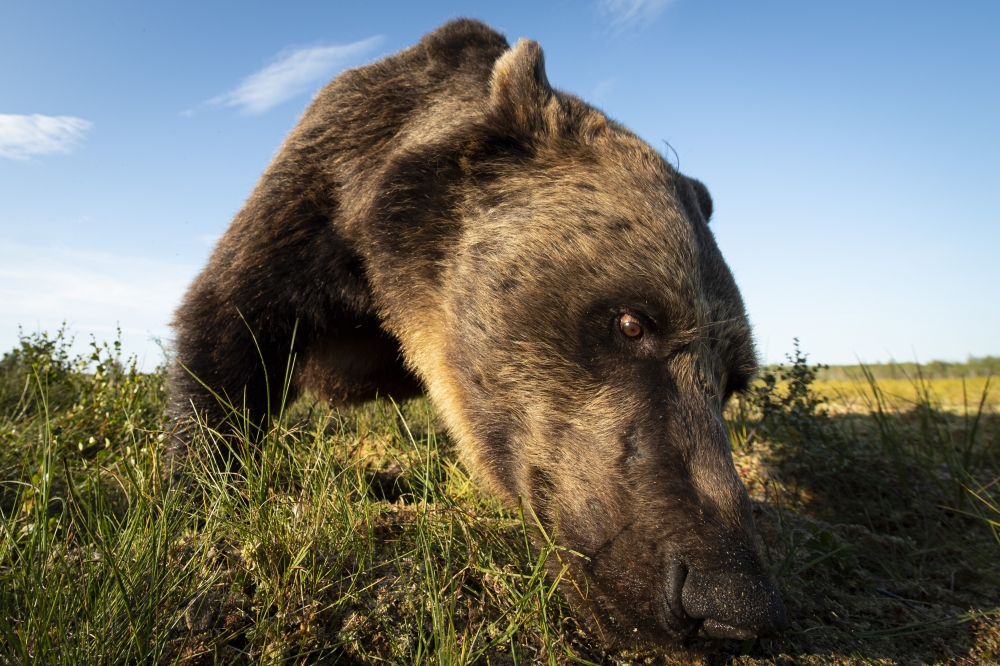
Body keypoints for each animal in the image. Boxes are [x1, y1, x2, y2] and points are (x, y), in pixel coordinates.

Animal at [168, 19, 787, 648]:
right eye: (632, 322)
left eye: (733, 380)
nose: (732, 600)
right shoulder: (319, 195)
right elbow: (226, 328)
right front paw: (198, 509)